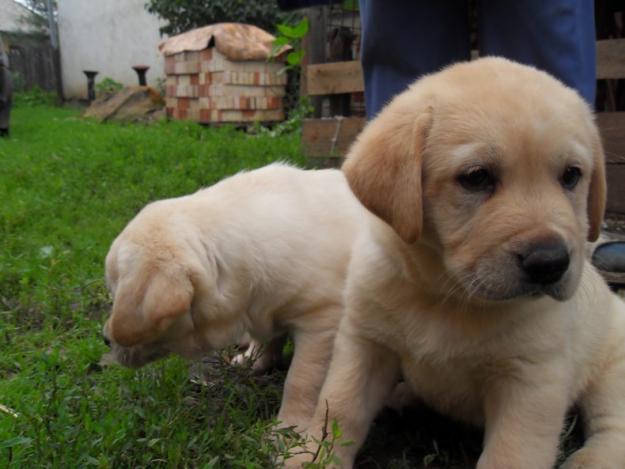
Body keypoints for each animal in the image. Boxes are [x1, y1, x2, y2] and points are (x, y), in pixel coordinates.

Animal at [102, 163, 366, 430]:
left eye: (118, 296)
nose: (104, 339)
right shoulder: (265, 306)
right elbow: (269, 337)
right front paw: (255, 360)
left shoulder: (322, 324)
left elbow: (301, 380)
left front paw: (288, 428)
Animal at [292, 58, 624, 468]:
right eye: (476, 177)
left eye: (571, 175)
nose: (550, 262)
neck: (446, 295)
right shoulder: (364, 344)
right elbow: (339, 408)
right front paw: (311, 457)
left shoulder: (531, 381)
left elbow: (510, 455)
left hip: (614, 369)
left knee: (614, 426)